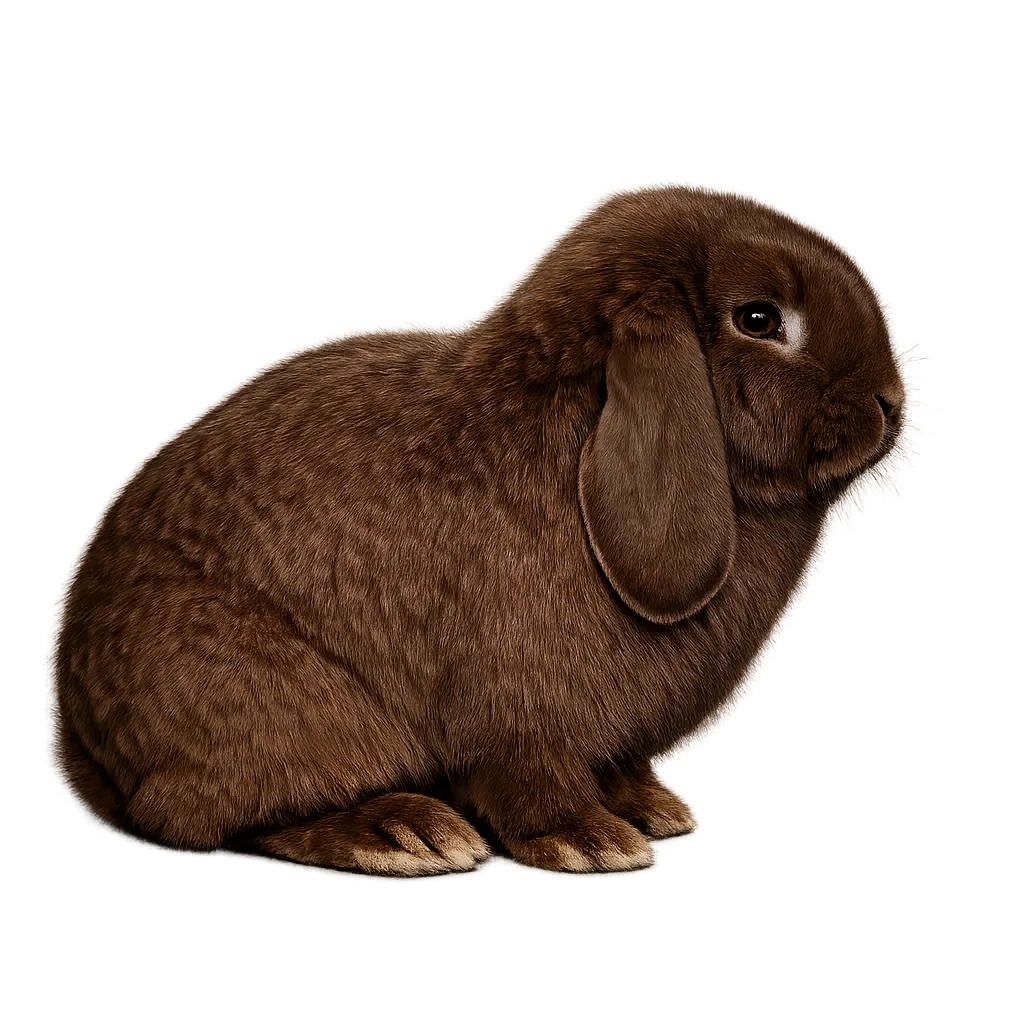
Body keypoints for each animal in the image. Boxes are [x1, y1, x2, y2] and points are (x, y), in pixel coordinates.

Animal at [56, 186, 904, 877]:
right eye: (759, 319)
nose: (891, 402)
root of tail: (86, 738)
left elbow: (618, 767)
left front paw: (651, 810)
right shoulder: (517, 717)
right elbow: (530, 779)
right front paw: (590, 842)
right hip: (279, 706)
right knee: (220, 814)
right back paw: (402, 833)